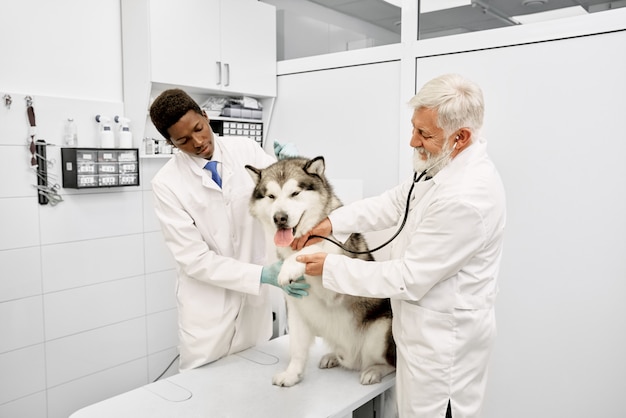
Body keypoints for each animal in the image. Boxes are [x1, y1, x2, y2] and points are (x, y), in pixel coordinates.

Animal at [245, 155, 394, 386]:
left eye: (295, 193)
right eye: (271, 196)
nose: (280, 218)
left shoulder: (333, 291)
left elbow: (316, 246)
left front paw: (290, 266)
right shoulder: (296, 308)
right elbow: (297, 349)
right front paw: (292, 374)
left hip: (381, 329)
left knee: (389, 363)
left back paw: (374, 370)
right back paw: (334, 357)